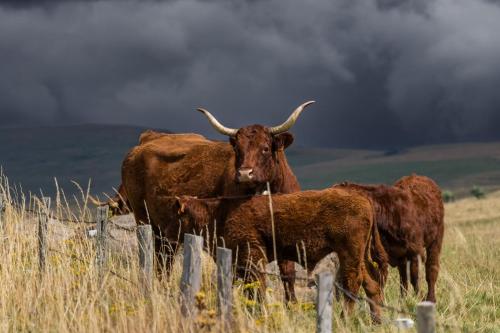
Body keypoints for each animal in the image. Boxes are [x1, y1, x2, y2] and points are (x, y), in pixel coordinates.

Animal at [115, 100, 314, 300]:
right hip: (144, 220)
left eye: (265, 148)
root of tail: (148, 138)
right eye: (238, 149)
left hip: (168, 234)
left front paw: (292, 304)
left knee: (164, 262)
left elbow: (288, 275)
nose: (244, 174)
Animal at [176, 188, 386, 322]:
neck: (218, 213)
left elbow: (258, 289)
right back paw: (376, 320)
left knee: (353, 282)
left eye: (176, 214)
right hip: (358, 256)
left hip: (349, 253)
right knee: (371, 283)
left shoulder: (253, 259)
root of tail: (363, 198)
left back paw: (344, 319)